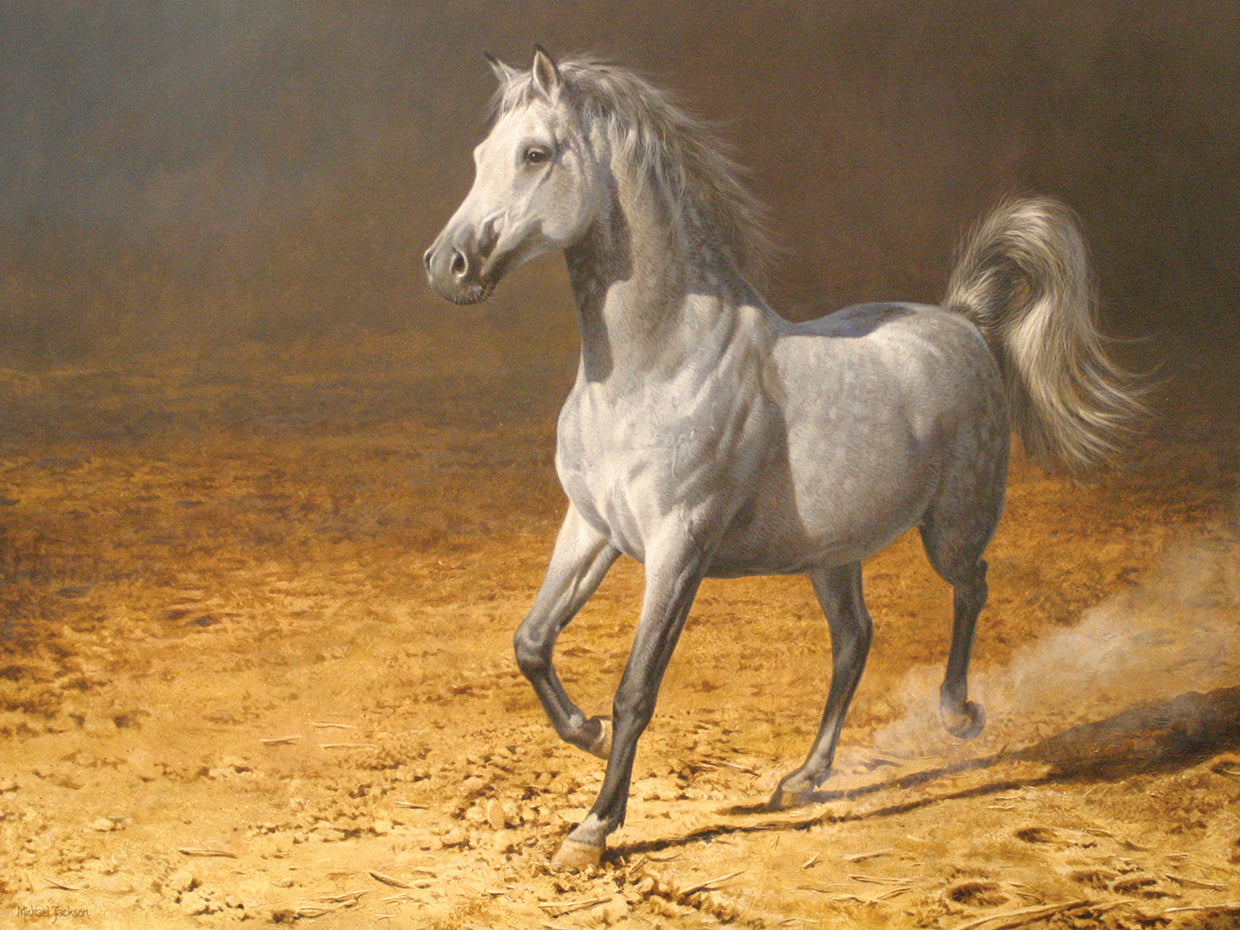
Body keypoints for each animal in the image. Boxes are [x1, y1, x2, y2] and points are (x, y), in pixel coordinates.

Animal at [424, 47, 1144, 869]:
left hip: (952, 527)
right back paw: (803, 779)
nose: (445, 266)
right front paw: (585, 735)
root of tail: (964, 320)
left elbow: (637, 688)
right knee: (855, 641)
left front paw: (594, 827)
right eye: (479, 154)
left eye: (536, 154)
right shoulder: (591, 528)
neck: (655, 362)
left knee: (971, 589)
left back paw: (958, 715)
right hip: (833, 555)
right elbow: (531, 642)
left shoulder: (679, 548)